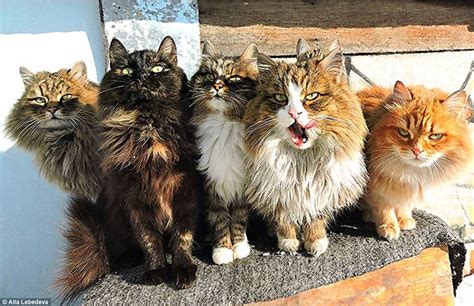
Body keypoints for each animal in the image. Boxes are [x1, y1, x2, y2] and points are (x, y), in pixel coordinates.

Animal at [57, 35, 200, 298]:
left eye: (157, 68)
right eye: (126, 70)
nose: (140, 76)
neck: (149, 131)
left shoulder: (186, 192)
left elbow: (182, 236)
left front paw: (183, 270)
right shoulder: (134, 198)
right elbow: (149, 240)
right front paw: (156, 271)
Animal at [189, 41, 258, 266]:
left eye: (234, 78)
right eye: (210, 75)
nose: (217, 85)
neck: (224, 124)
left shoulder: (242, 189)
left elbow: (238, 221)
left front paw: (239, 246)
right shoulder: (211, 189)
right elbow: (220, 222)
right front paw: (222, 250)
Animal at [244, 41, 366, 256]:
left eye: (312, 96)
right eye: (280, 97)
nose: (294, 113)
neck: (303, 161)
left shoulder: (323, 193)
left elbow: (316, 220)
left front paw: (315, 241)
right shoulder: (277, 193)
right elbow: (283, 220)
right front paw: (288, 241)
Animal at [358, 82, 472, 240]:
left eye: (435, 136)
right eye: (403, 133)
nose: (416, 150)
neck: (412, 172)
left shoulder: (407, 187)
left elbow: (404, 206)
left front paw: (404, 219)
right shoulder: (378, 187)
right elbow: (384, 208)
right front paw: (388, 227)